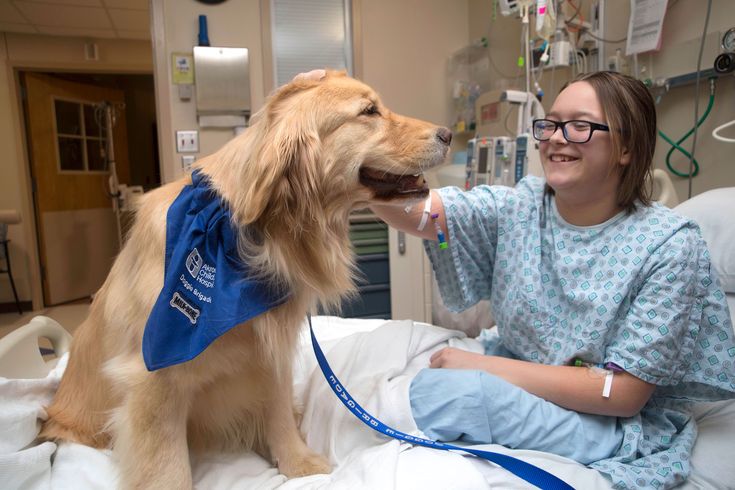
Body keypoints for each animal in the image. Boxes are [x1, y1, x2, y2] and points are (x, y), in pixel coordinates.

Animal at [41, 71, 454, 488]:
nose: (449, 133)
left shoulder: (271, 352)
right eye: (369, 111)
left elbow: (278, 413)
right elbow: (167, 465)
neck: (241, 237)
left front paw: (297, 464)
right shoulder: (153, 380)